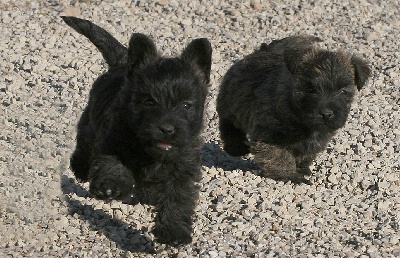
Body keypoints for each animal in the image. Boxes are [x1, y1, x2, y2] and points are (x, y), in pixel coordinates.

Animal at [61, 16, 212, 246]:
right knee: (84, 144)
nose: (166, 129)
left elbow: (179, 196)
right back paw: (80, 168)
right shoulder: (112, 141)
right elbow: (113, 165)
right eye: (149, 101)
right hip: (90, 123)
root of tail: (123, 61)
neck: (151, 153)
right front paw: (109, 187)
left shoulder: (184, 166)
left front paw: (174, 230)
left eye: (186, 105)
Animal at [217, 35, 370, 183]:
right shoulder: (269, 133)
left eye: (343, 91)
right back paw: (236, 148)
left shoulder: (319, 137)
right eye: (310, 89)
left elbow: (306, 151)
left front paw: (301, 168)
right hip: (229, 104)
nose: (327, 114)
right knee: (228, 125)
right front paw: (289, 175)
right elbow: (279, 156)